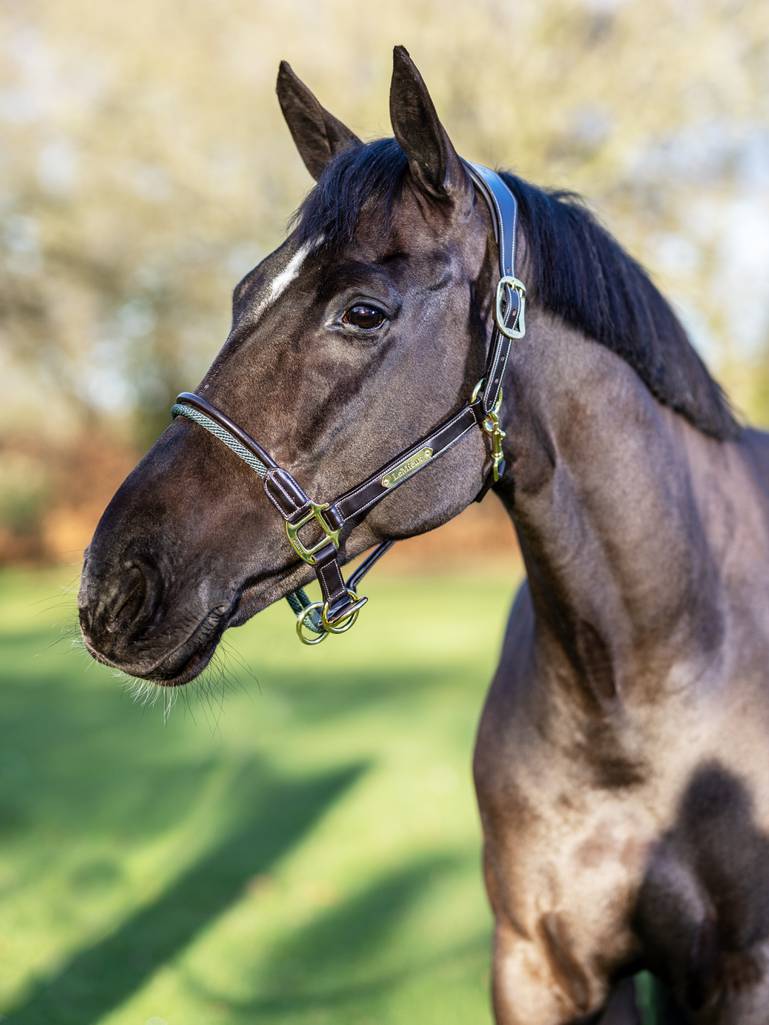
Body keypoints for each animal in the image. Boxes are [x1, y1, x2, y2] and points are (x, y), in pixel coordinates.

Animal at [76, 44, 769, 1020]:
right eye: (245, 291)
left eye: (362, 311)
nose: (114, 586)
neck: (650, 681)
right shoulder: (537, 964)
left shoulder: (745, 972)